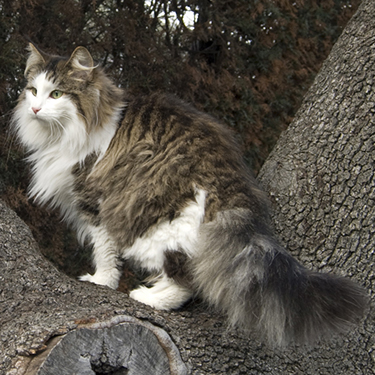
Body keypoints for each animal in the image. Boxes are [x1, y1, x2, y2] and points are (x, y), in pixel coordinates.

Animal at [11, 43, 368, 346]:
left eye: (57, 93)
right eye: (33, 90)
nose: (36, 108)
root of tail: (231, 184)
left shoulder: (95, 200)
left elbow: (105, 250)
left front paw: (102, 281)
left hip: (154, 226)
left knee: (189, 279)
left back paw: (149, 296)